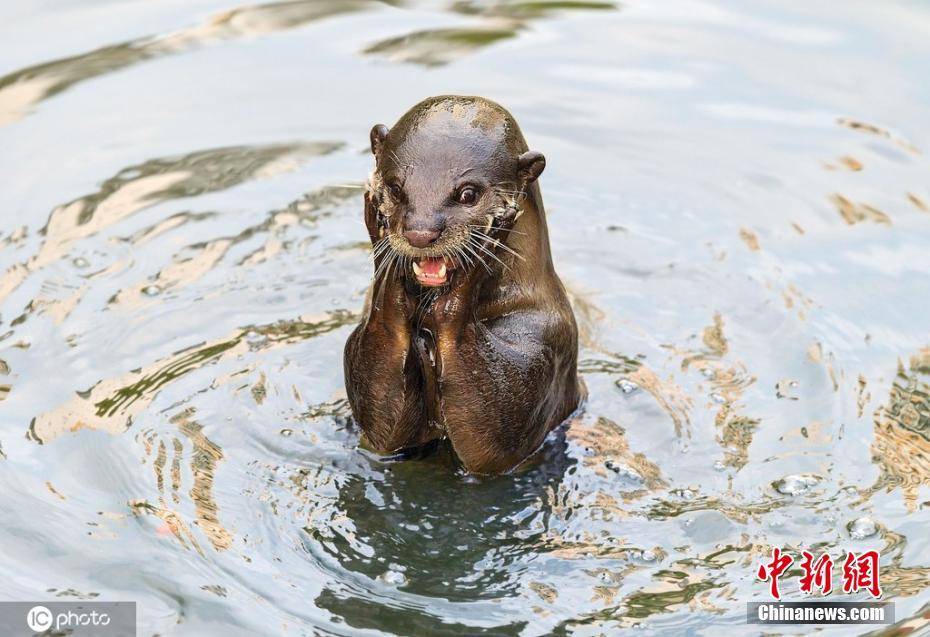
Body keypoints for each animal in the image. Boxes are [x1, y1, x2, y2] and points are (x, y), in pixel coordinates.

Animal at [340, 94, 580, 472]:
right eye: (394, 187)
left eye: (468, 194)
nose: (420, 232)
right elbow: (383, 431)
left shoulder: (548, 341)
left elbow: (495, 440)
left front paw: (487, 242)